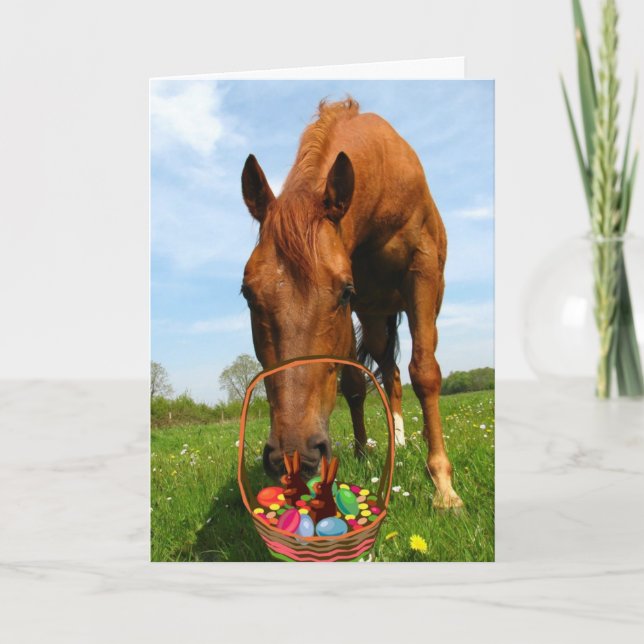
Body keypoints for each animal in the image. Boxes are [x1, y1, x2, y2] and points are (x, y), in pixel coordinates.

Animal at [240, 98, 462, 508]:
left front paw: (443, 485)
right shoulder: (360, 309)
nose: (294, 454)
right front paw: (360, 453)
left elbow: (425, 373)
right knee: (389, 374)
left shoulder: (420, 271)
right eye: (248, 292)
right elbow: (355, 385)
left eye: (343, 290)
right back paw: (397, 439)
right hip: (375, 319)